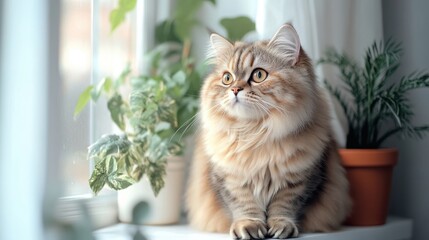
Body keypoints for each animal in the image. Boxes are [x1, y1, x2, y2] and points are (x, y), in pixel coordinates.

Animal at [186, 24, 350, 240]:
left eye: (258, 75)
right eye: (227, 78)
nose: (235, 90)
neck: (255, 135)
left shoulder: (299, 182)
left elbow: (284, 207)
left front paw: (281, 227)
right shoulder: (230, 181)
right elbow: (244, 207)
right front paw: (249, 226)